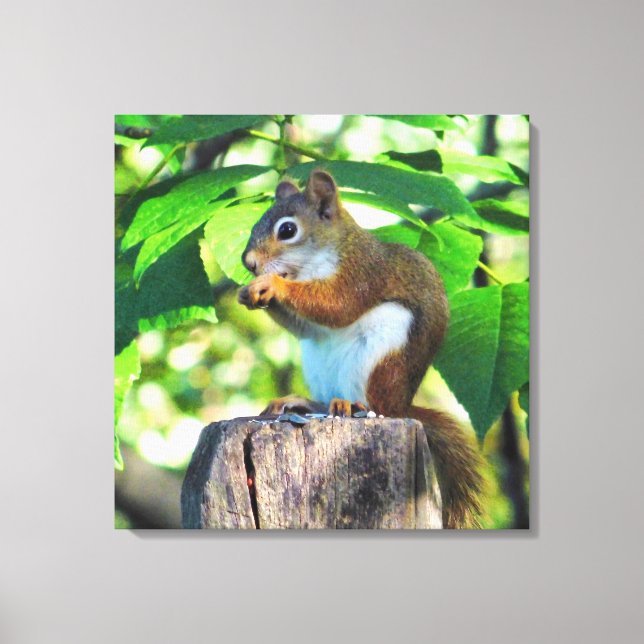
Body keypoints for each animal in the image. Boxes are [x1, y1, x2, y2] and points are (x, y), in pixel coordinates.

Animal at [237, 170, 484, 528]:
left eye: (287, 230)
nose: (249, 263)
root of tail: (402, 408)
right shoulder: (314, 323)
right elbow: (308, 326)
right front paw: (248, 292)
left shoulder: (360, 275)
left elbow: (335, 306)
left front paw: (273, 285)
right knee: (324, 401)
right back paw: (302, 402)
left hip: (380, 357)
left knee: (373, 404)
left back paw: (353, 405)